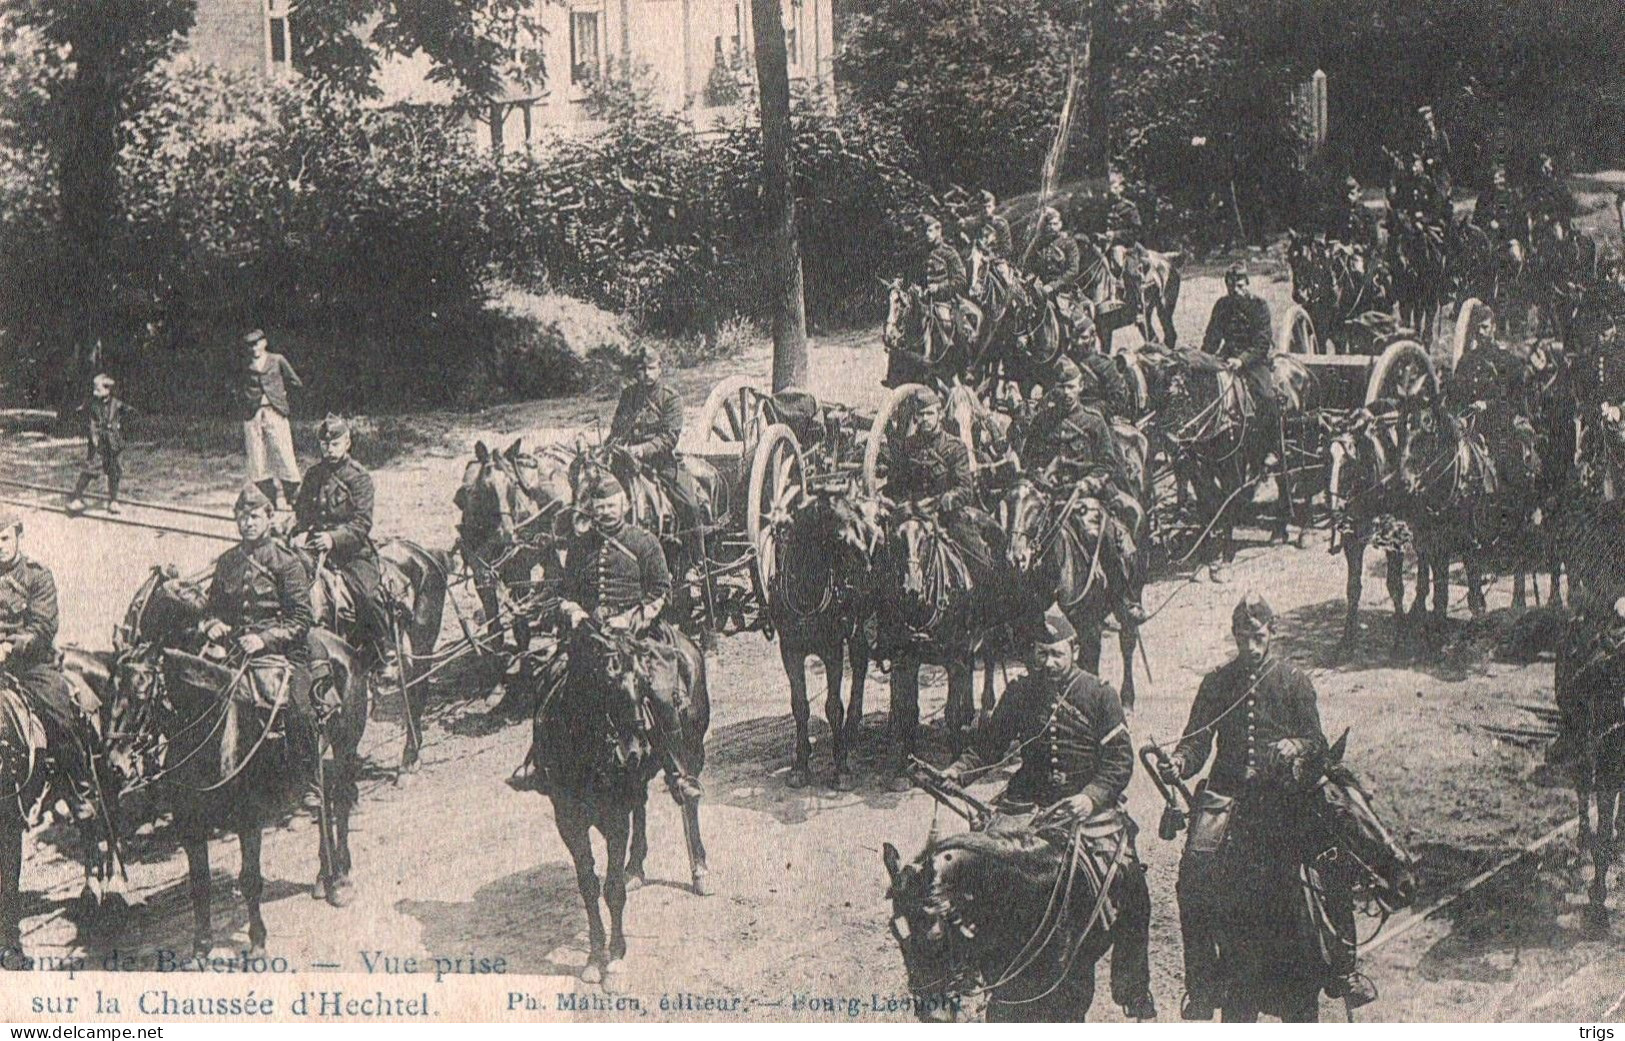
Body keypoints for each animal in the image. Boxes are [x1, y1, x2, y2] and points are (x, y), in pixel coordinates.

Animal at [1001, 477, 1144, 708]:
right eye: (1008, 504)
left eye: (1039, 508)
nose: (1016, 557)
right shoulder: (1031, 626)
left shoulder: (1087, 626)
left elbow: (1088, 665)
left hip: (1132, 595)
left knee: (1127, 640)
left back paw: (1127, 699)